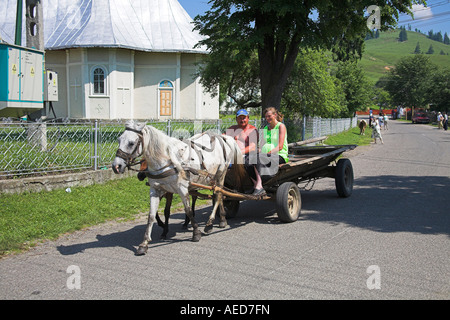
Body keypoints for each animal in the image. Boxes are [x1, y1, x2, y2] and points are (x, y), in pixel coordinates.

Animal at [112, 120, 246, 255]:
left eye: (131, 143)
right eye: (119, 139)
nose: (116, 166)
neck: (167, 160)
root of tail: (223, 138)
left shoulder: (181, 189)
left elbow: (188, 210)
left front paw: (196, 233)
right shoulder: (155, 190)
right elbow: (151, 215)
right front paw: (144, 244)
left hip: (220, 174)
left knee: (218, 196)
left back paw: (210, 223)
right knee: (219, 195)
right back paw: (222, 219)